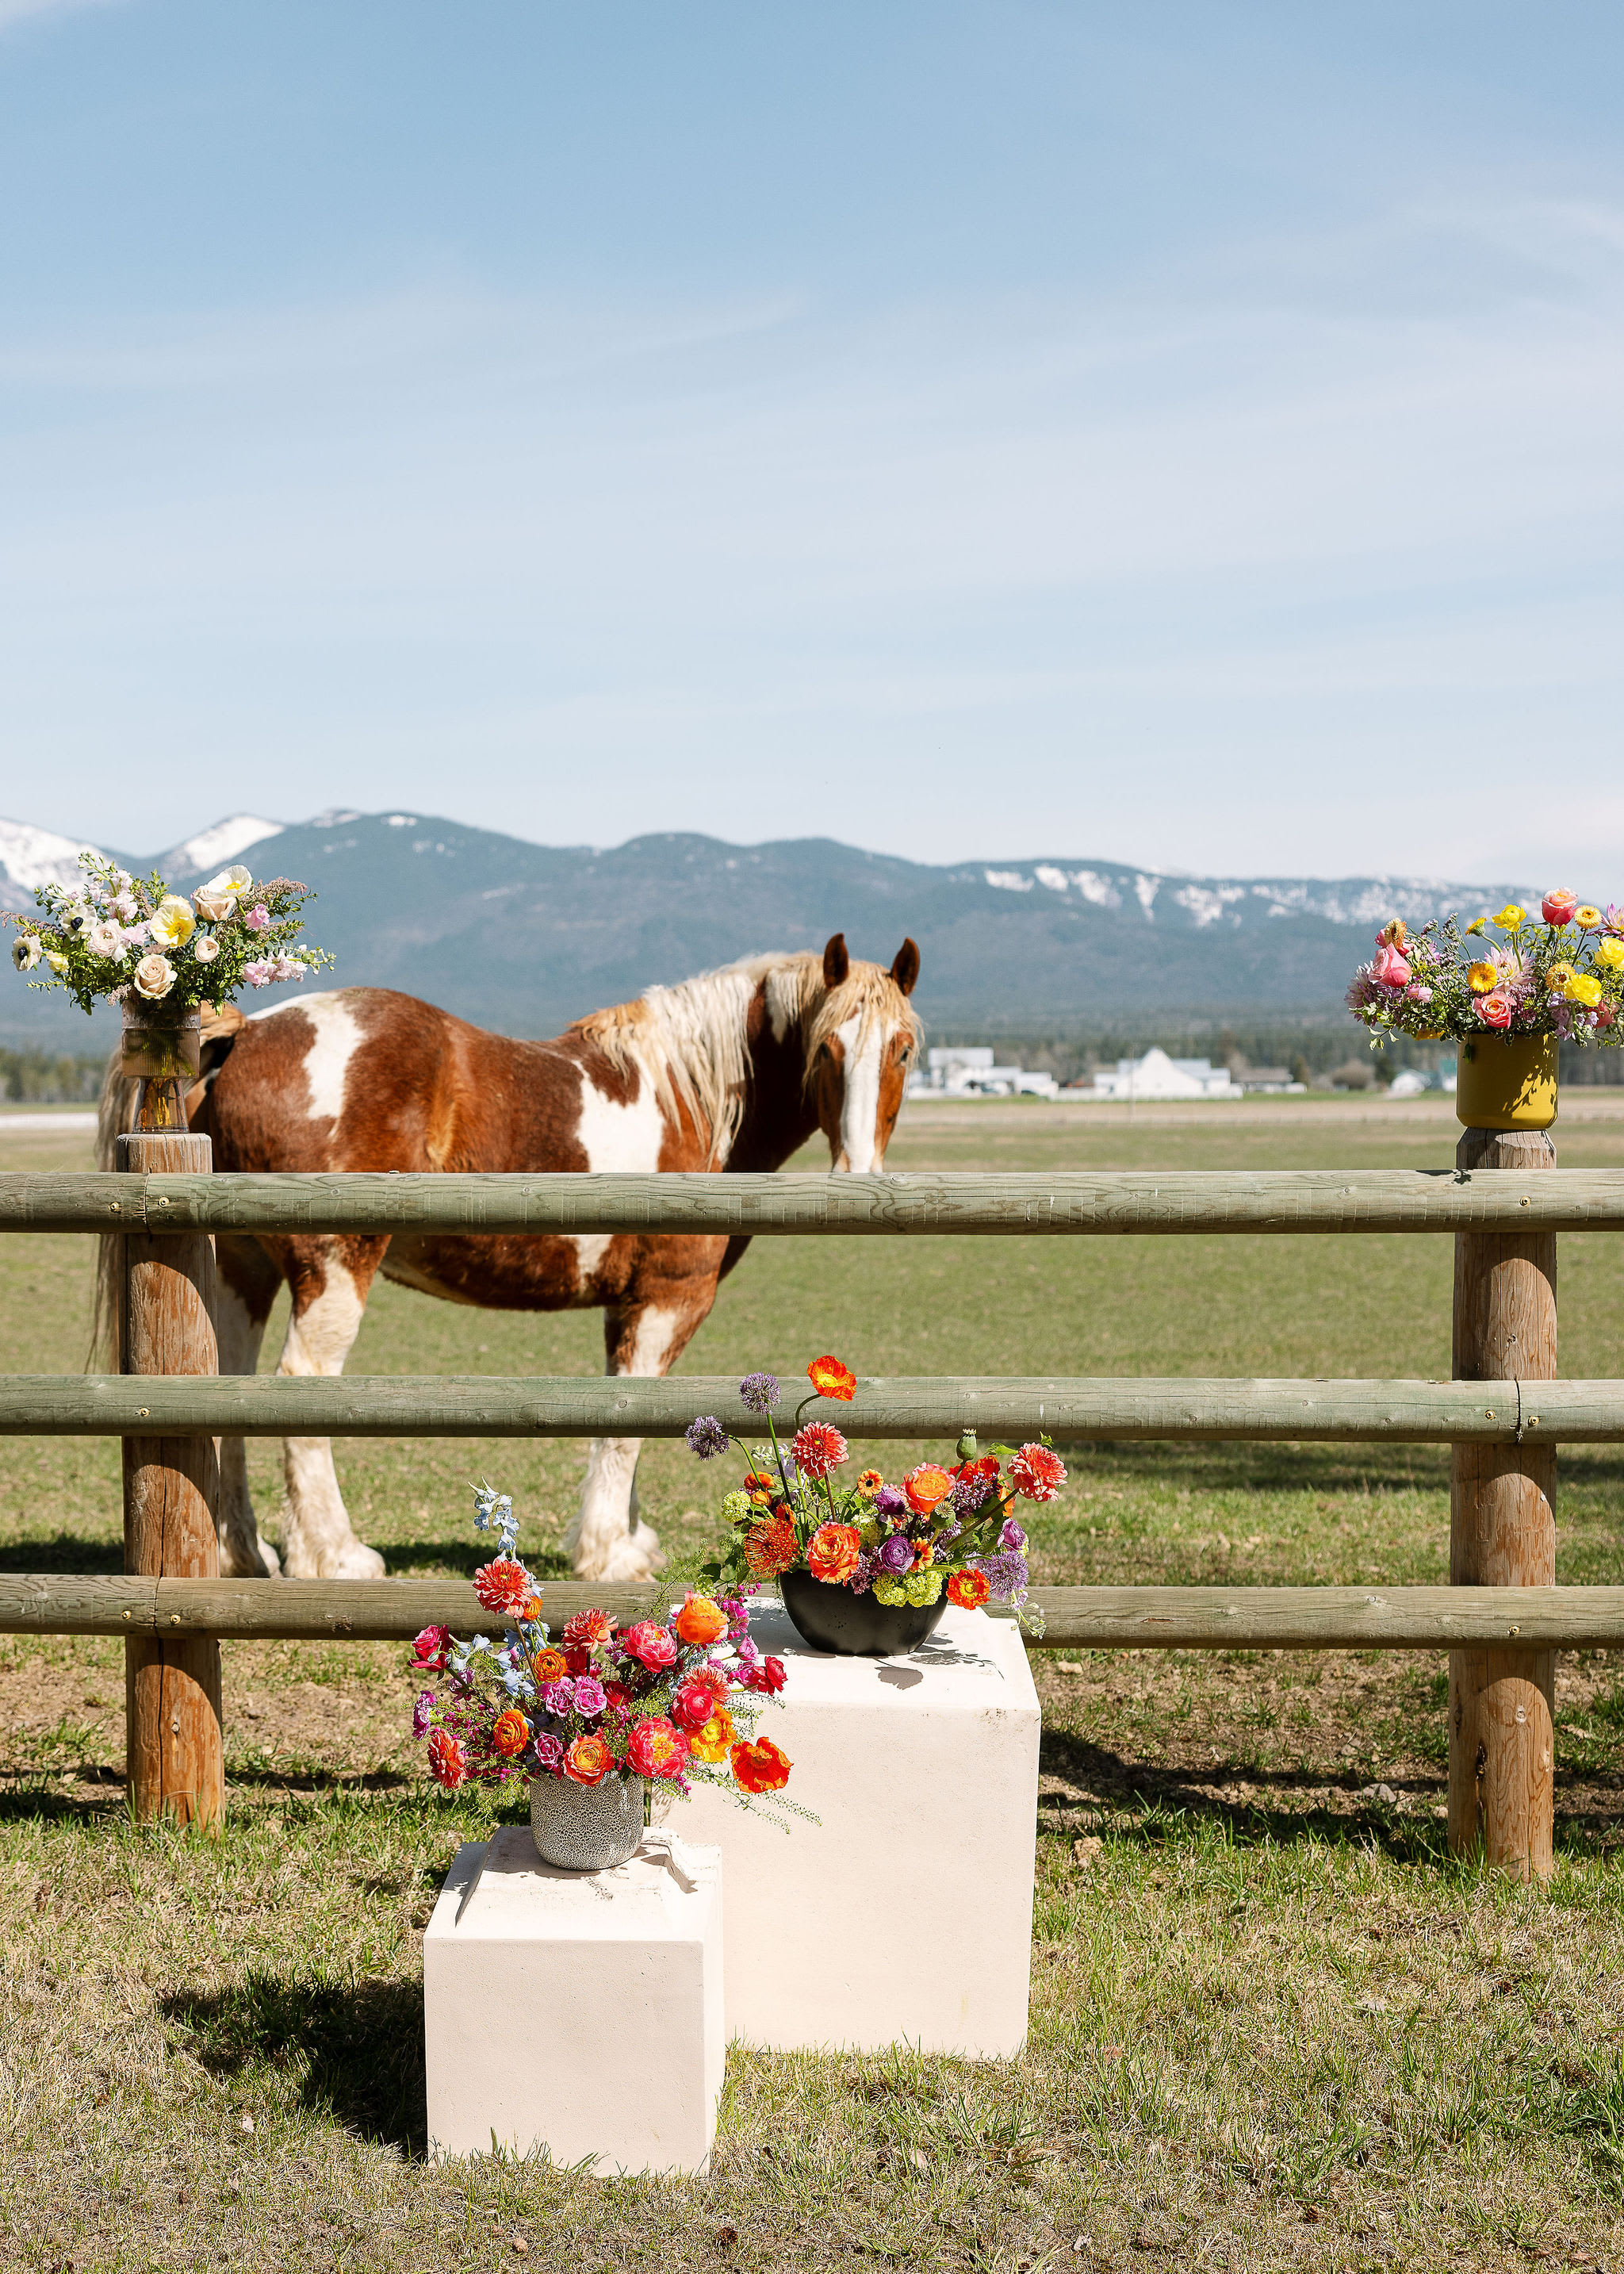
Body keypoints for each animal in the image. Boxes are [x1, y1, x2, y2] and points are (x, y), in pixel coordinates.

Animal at [97, 933, 921, 1583]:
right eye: (827, 1048)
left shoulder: (627, 1305)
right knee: (300, 1389)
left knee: (232, 1392)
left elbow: (625, 1415)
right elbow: (628, 1420)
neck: (689, 1099)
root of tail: (248, 1033)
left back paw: (243, 1552)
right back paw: (335, 1556)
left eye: (904, 1050)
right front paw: (608, 1556)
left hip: (245, 1269)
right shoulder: (669, 1297)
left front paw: (626, 1539)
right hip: (331, 1269)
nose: (859, 1174)